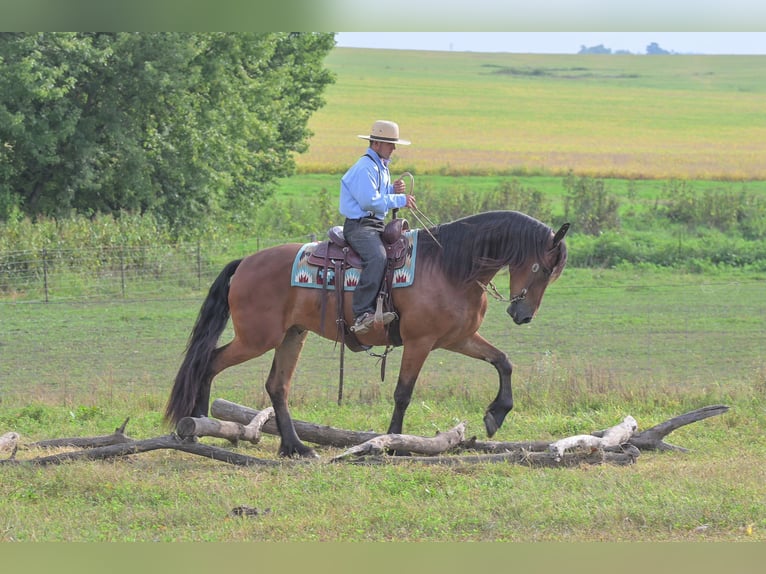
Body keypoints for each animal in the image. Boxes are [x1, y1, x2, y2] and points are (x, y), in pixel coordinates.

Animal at [165, 210, 569, 457]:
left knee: (277, 386)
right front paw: (395, 443)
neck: (448, 266)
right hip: (257, 338)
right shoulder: (420, 342)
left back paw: (295, 447)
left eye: (553, 274)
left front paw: (495, 415)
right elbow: (403, 393)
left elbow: (503, 361)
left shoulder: (457, 339)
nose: (522, 314)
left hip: (292, 335)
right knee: (208, 361)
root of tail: (246, 262)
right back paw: (198, 424)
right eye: (540, 267)